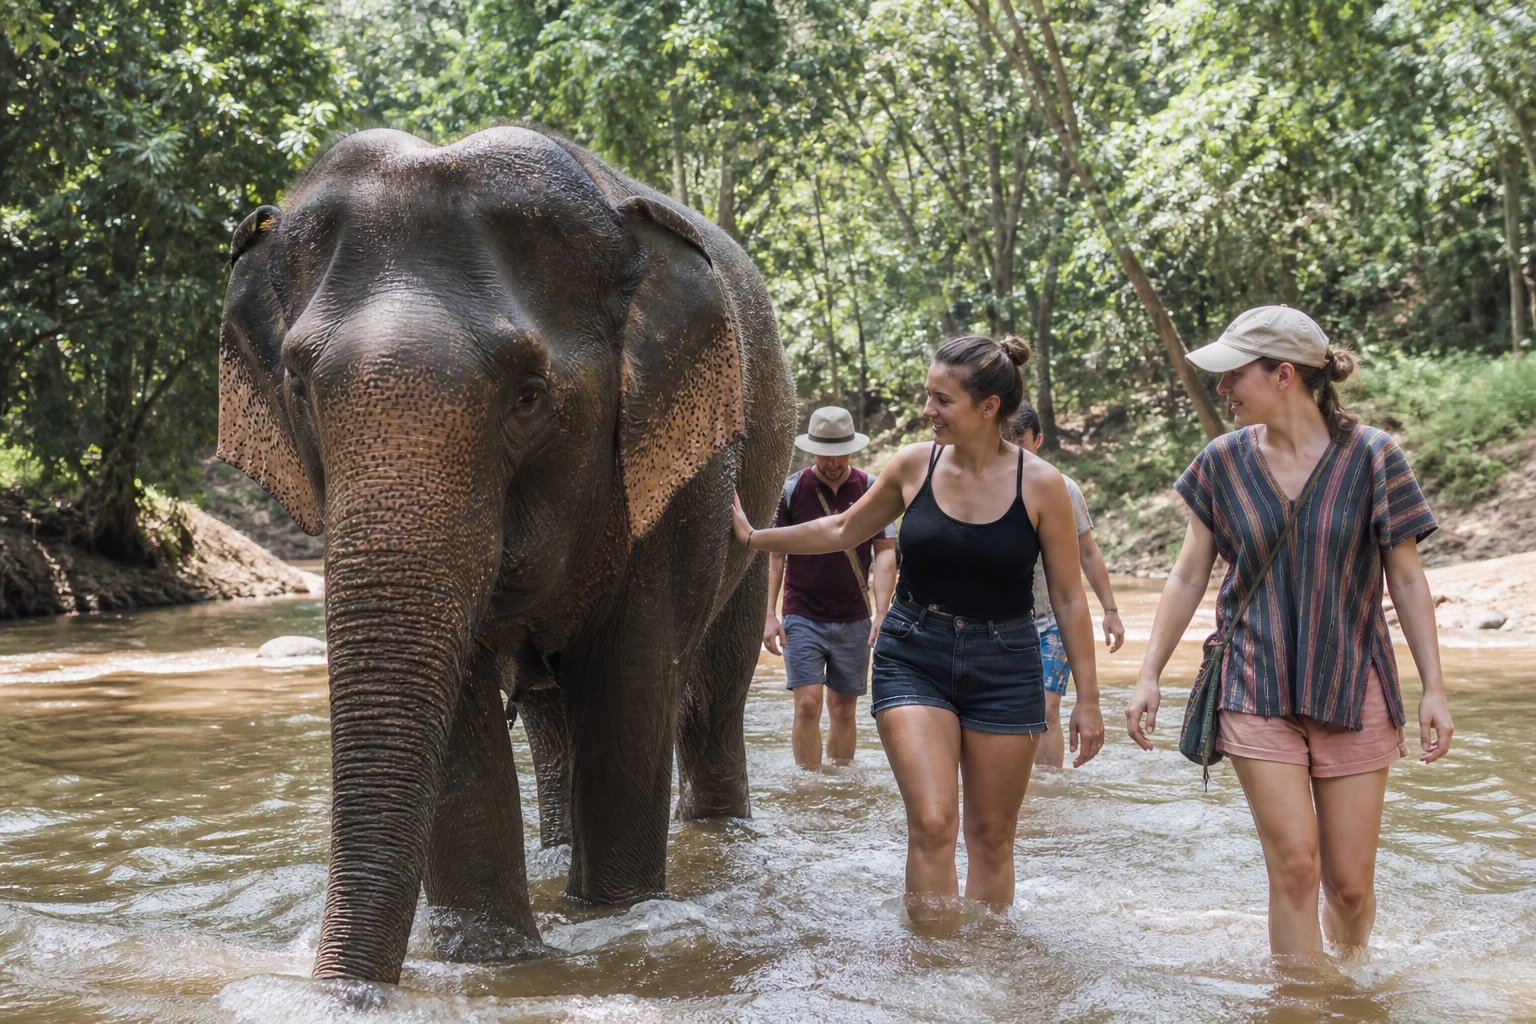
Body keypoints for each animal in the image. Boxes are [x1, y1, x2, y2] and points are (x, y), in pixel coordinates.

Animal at [217, 125, 794, 985]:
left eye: (529, 396)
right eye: (298, 387)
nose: (339, 992)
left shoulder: (677, 484)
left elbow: (628, 692)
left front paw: (617, 917)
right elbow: (461, 722)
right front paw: (493, 962)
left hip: (754, 506)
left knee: (708, 706)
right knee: (555, 726)